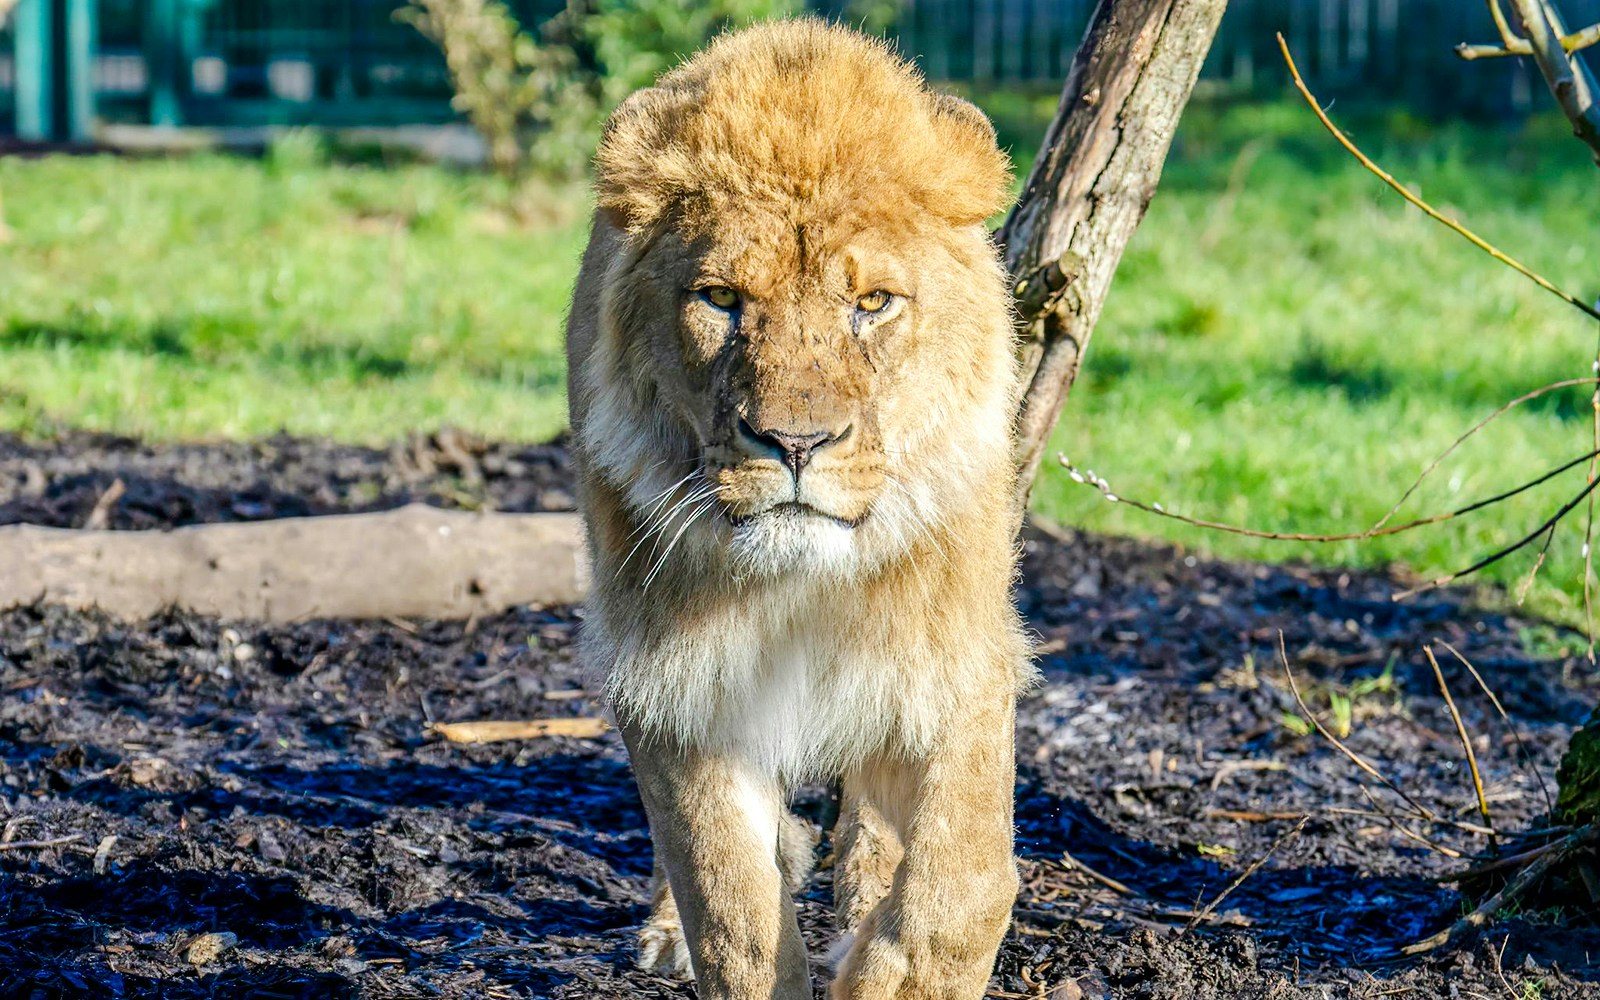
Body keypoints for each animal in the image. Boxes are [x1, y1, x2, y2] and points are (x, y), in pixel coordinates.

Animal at [565, 19, 1030, 1000]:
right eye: (722, 299)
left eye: (873, 302)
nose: (795, 444)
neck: (806, 581)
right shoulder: (673, 675)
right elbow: (729, 902)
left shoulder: (960, 655)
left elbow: (964, 884)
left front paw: (890, 968)